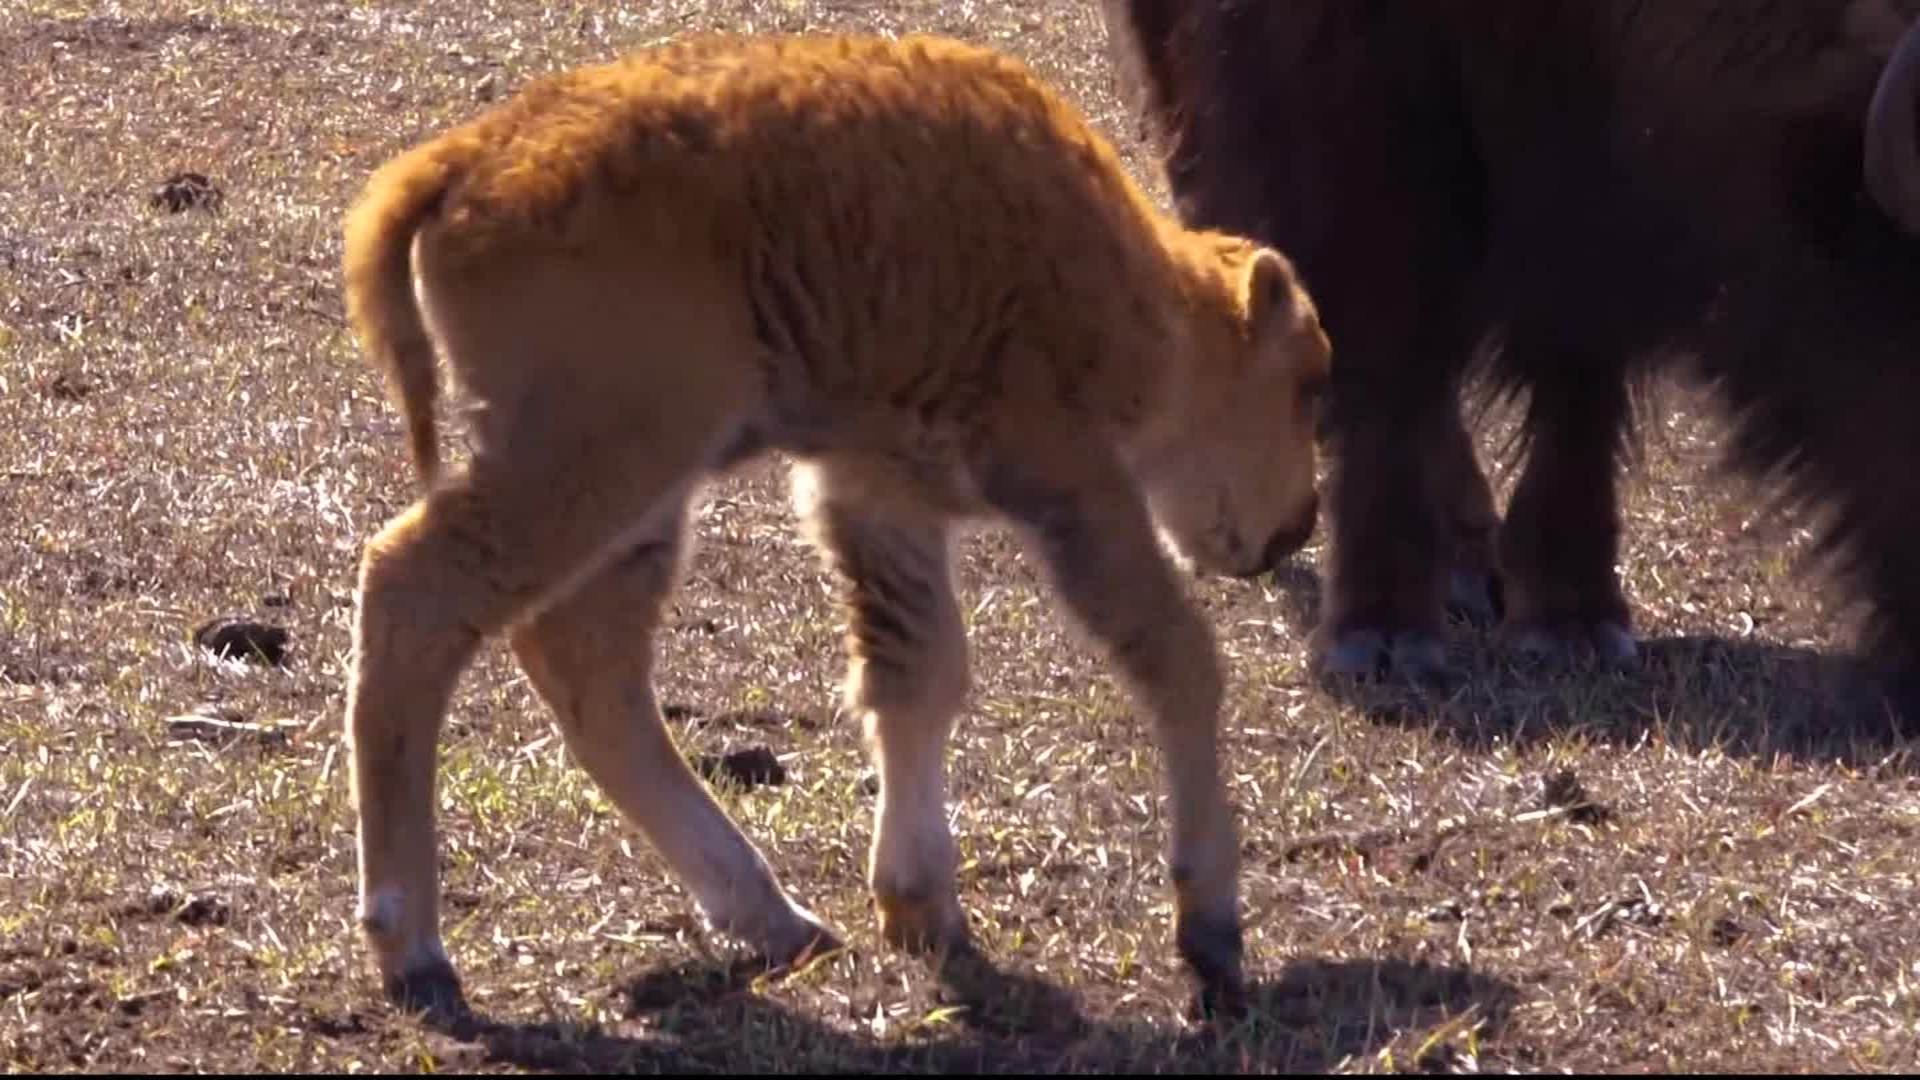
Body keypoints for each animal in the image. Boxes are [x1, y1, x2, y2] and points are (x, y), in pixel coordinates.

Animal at [1104, 1, 1920, 714]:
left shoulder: (1590, 160)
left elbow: (1577, 378)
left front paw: (1572, 618)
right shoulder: (1353, 107)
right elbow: (1389, 356)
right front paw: (1383, 634)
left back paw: (1472, 562)